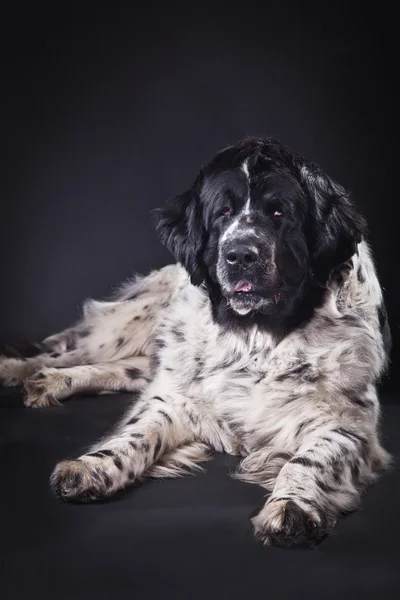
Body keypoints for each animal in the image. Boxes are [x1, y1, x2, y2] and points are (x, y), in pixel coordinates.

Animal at [0, 137, 392, 548]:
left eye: (279, 211)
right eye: (222, 212)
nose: (240, 254)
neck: (256, 338)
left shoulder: (348, 425)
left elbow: (307, 460)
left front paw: (292, 506)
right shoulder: (177, 397)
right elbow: (137, 432)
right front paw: (94, 465)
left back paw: (50, 381)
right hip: (139, 320)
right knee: (76, 348)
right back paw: (25, 370)